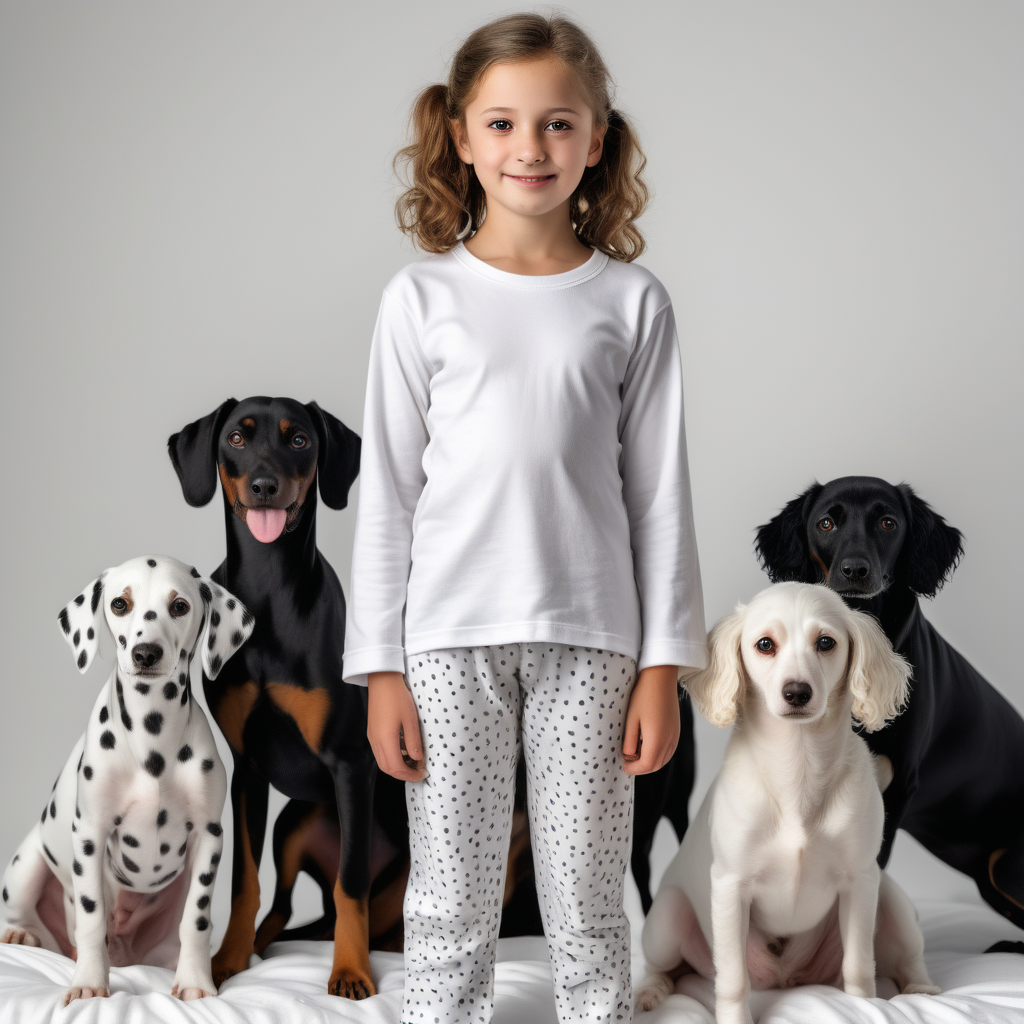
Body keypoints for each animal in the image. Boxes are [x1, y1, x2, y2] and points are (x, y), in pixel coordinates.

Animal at [0, 557, 253, 1003]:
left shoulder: (209, 837)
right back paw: (20, 934)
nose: (145, 652)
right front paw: (88, 982)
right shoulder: (90, 833)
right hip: (27, 863)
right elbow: (92, 916)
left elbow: (197, 919)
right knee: (27, 915)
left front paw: (196, 980)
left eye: (180, 606)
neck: (153, 739)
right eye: (120, 603)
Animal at [166, 395, 403, 995]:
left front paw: (351, 970)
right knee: (281, 906)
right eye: (236, 438)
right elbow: (244, 882)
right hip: (291, 824)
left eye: (299, 440)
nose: (265, 485)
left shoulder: (351, 765)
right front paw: (225, 960)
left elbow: (350, 886)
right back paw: (259, 946)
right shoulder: (247, 769)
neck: (270, 591)